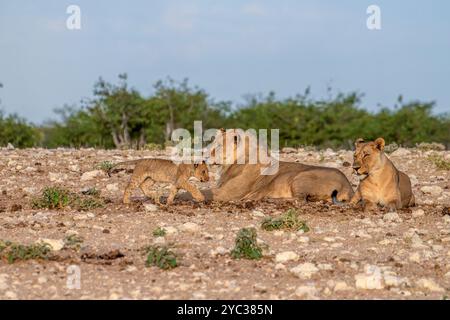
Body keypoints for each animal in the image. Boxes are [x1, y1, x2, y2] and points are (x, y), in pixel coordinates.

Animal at [201, 129, 356, 204]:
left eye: (218, 146)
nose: (204, 155)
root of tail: (348, 186)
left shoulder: (228, 193)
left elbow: (205, 192)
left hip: (301, 177)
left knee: (301, 200)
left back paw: (268, 199)